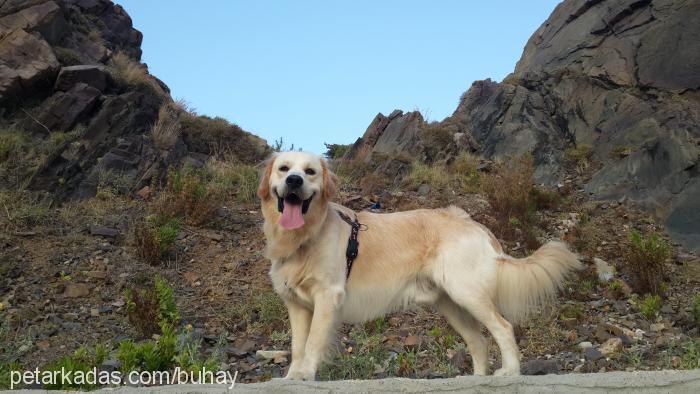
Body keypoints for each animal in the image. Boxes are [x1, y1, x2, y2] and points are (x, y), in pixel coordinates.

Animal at [256, 150, 580, 378]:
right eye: (284, 168)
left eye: (310, 172)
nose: (294, 180)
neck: (304, 237)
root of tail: (473, 223)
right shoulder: (297, 305)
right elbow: (297, 346)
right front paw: (292, 377)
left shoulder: (327, 296)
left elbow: (312, 343)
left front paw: (305, 374)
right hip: (452, 304)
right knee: (478, 342)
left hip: (468, 293)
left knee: (503, 327)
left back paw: (510, 371)